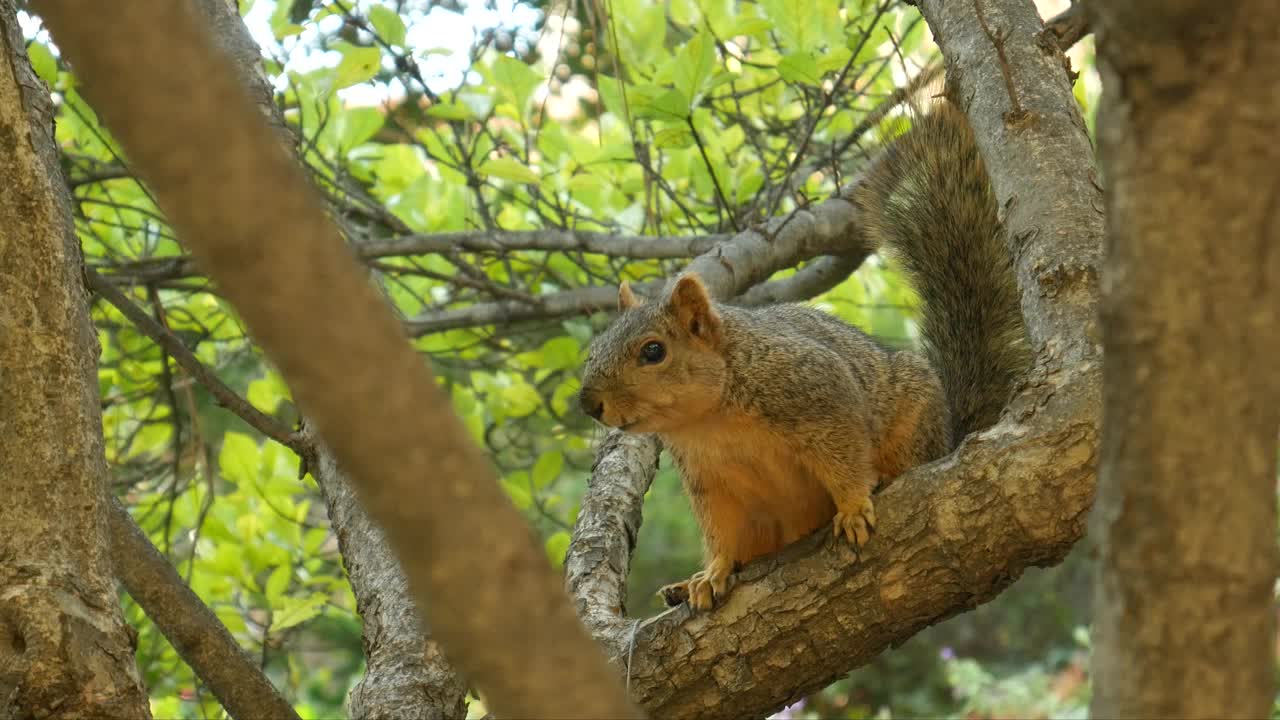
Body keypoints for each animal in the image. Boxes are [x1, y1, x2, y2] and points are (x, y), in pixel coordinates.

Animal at [581, 94, 1029, 609]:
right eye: (596, 346)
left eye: (653, 351)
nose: (589, 403)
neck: (710, 419)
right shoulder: (711, 481)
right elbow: (723, 531)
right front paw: (712, 572)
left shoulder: (818, 395)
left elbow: (845, 457)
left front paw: (853, 507)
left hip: (913, 421)